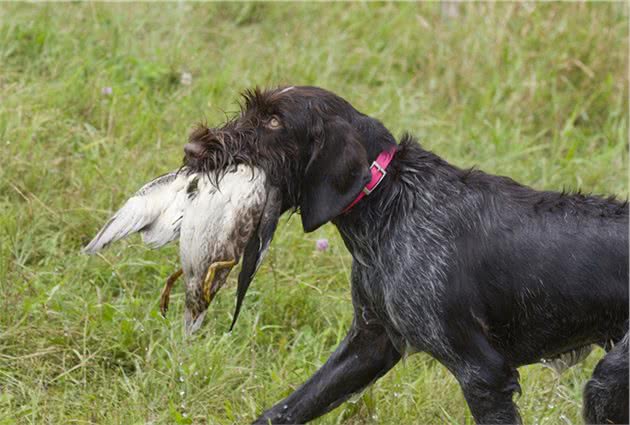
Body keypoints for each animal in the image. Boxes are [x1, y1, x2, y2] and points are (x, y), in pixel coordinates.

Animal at [185, 87, 628, 424]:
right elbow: (289, 407)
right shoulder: (370, 343)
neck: (387, 199)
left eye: (275, 121)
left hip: (607, 383)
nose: (191, 147)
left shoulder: (484, 373)